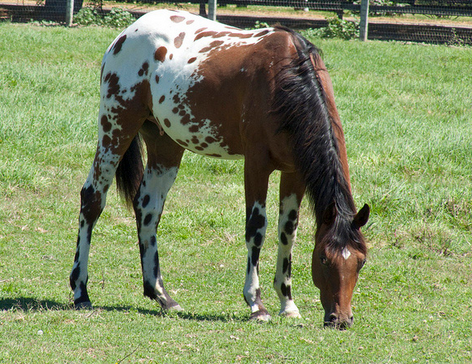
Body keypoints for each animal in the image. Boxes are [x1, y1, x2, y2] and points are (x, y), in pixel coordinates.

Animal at [70, 8, 370, 328]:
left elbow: (287, 231)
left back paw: (162, 296)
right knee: (92, 198)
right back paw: (81, 291)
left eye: (361, 261)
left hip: (166, 145)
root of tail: (127, 33)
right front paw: (256, 303)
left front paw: (288, 303)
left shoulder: (295, 172)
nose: (341, 319)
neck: (286, 79)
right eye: (324, 258)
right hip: (116, 128)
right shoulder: (256, 165)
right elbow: (257, 228)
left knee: (148, 209)